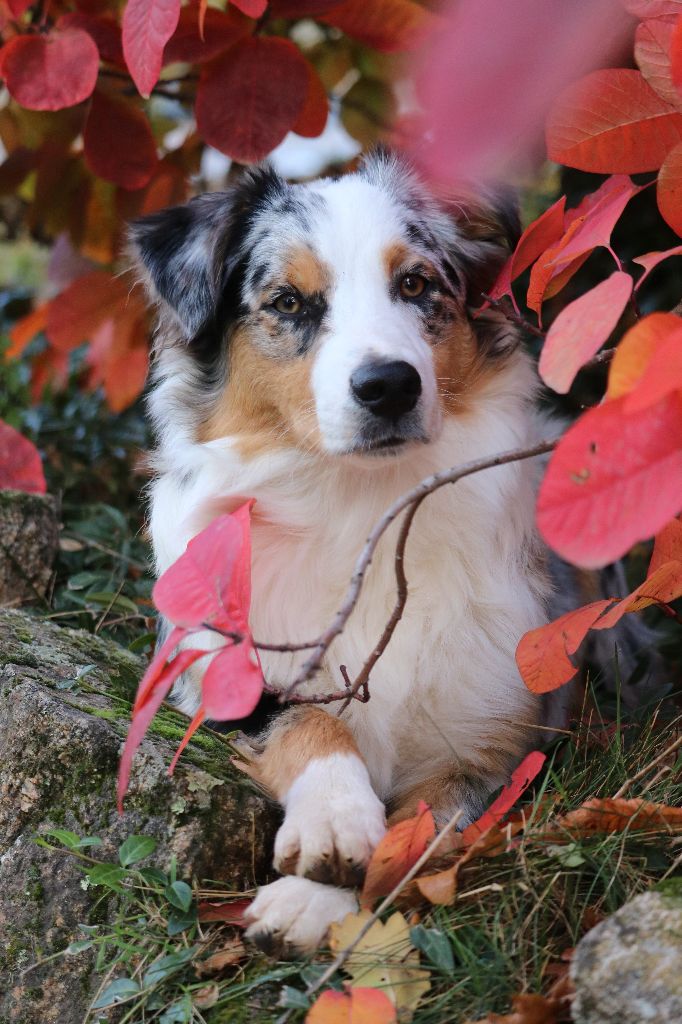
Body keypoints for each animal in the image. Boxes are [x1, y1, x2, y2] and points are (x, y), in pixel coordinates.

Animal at [129, 149, 557, 950]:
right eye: (289, 302)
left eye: (415, 283)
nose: (388, 385)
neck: (361, 505)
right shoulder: (221, 672)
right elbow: (306, 717)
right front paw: (334, 821)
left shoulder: (497, 745)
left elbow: (420, 829)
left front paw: (322, 897)